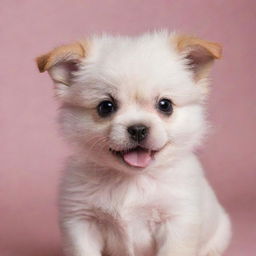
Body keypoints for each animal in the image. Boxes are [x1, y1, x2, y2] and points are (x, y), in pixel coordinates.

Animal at [36, 31, 232, 256]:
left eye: (165, 105)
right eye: (106, 107)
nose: (138, 128)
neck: (132, 181)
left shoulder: (177, 221)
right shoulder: (81, 221)